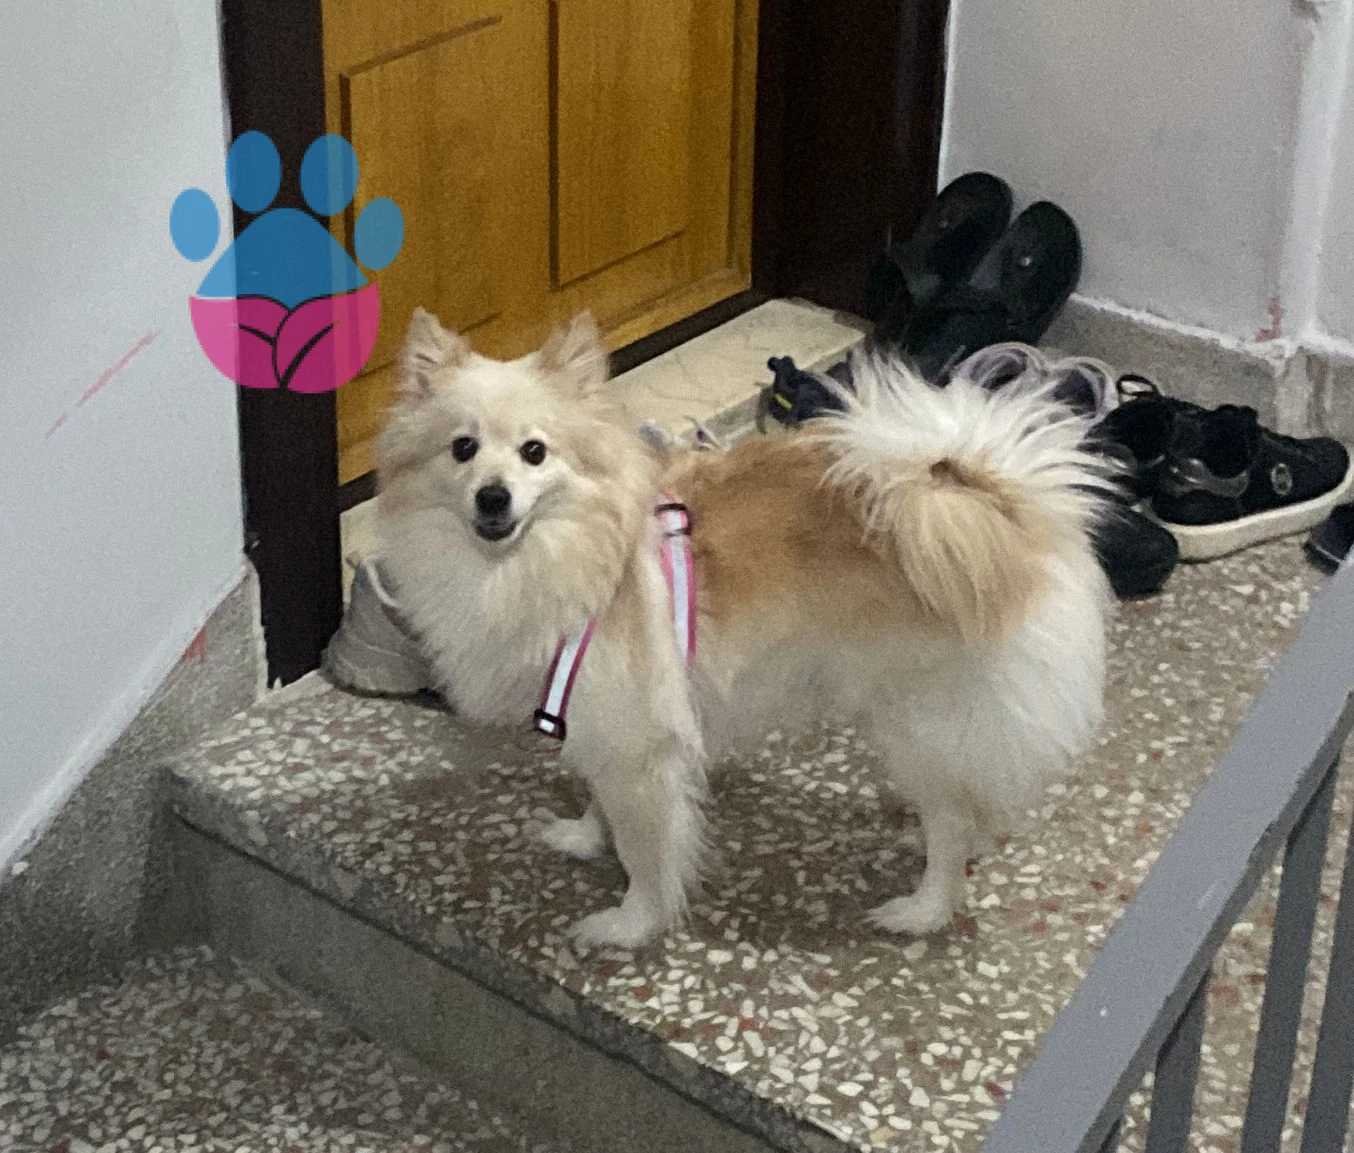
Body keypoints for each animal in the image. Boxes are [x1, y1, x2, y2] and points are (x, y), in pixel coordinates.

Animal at [376, 308, 1113, 949]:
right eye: (462, 449)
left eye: (534, 452)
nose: (492, 496)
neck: (560, 553)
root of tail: (1006, 505)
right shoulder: (604, 724)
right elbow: (600, 799)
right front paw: (585, 837)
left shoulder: (638, 742)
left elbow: (645, 848)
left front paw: (630, 924)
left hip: (922, 715)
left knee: (953, 817)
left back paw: (922, 906)